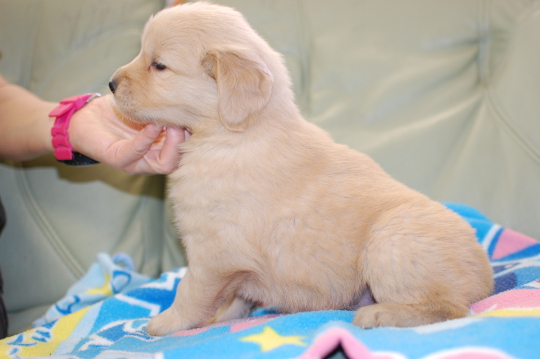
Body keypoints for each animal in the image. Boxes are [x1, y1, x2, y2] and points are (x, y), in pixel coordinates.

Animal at [109, 2, 494, 338]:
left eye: (158, 65)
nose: (110, 83)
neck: (232, 134)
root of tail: (486, 277)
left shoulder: (213, 252)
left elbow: (190, 292)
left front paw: (167, 322)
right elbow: (235, 297)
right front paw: (224, 317)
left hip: (392, 242)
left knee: (449, 309)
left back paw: (379, 314)